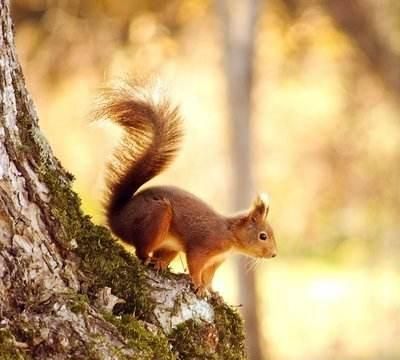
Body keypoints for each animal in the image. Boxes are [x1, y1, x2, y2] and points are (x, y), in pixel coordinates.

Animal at [95, 81, 276, 296]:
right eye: (263, 236)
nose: (274, 254)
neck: (229, 235)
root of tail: (117, 219)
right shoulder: (203, 246)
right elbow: (195, 266)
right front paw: (198, 285)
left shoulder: (215, 261)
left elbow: (209, 276)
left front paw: (210, 289)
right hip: (156, 217)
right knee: (140, 250)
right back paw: (148, 258)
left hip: (169, 244)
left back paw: (159, 263)